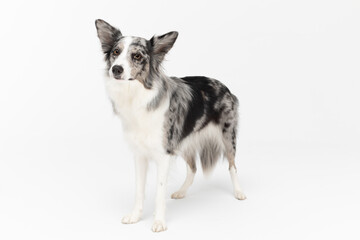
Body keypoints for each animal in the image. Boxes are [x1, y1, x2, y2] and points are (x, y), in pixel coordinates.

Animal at [95, 19, 246, 232]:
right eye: (116, 52)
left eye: (137, 56)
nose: (116, 69)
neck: (137, 95)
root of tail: (223, 86)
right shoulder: (140, 155)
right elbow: (139, 189)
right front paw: (135, 216)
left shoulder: (164, 154)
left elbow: (159, 192)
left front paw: (159, 222)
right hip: (184, 141)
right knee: (193, 168)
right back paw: (181, 192)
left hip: (227, 137)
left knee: (232, 166)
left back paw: (239, 192)